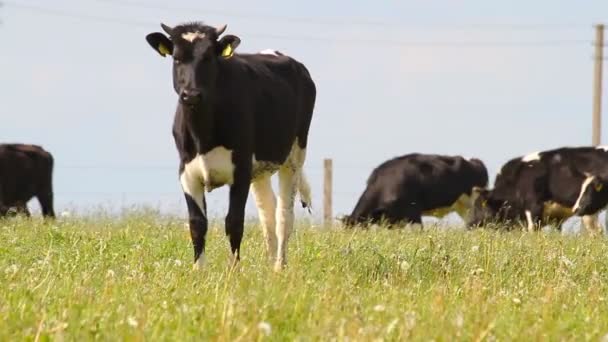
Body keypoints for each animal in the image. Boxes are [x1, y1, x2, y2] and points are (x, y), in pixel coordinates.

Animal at [145, 22, 316, 272]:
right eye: (176, 58)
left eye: (208, 57)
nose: (191, 95)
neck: (204, 136)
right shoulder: (187, 173)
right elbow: (197, 224)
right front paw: (199, 270)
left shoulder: (241, 171)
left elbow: (234, 222)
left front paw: (233, 270)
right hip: (260, 170)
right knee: (268, 212)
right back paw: (269, 266)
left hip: (294, 156)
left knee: (284, 215)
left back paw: (279, 268)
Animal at [468, 146, 608, 234]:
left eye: (479, 206)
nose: (469, 225)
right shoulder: (556, 218)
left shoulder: (533, 207)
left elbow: (532, 231)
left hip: (589, 209)